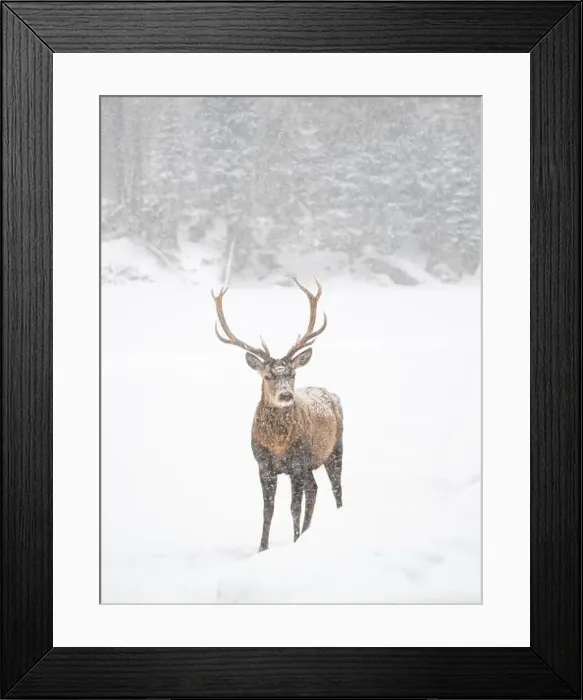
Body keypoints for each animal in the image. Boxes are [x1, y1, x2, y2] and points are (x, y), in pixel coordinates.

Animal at [211, 278, 343, 552]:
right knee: (314, 489)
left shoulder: (297, 462)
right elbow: (268, 510)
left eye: (292, 373)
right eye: (268, 375)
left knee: (336, 489)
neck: (278, 444)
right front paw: (262, 548)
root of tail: (332, 395)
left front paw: (293, 542)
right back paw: (307, 532)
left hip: (335, 449)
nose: (285, 395)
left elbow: (293, 507)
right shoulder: (263, 464)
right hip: (311, 463)